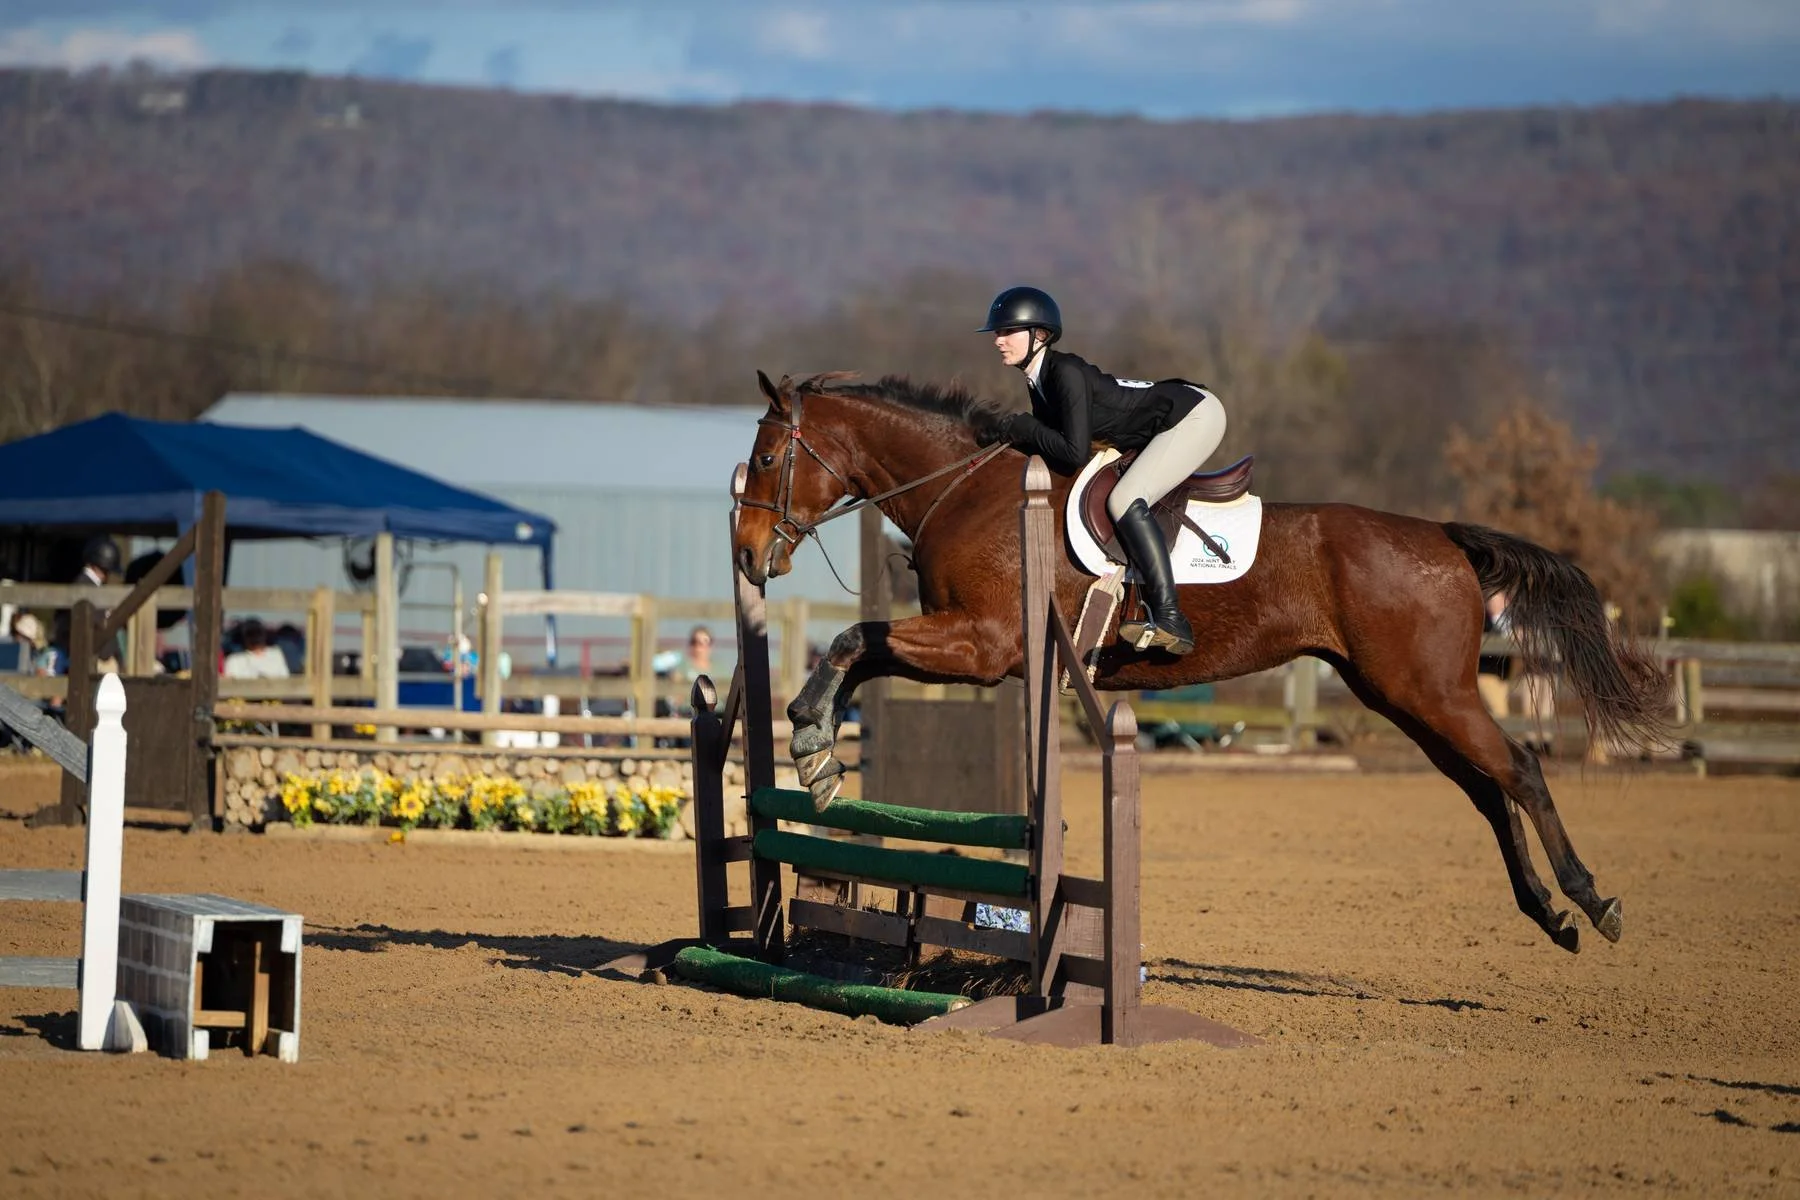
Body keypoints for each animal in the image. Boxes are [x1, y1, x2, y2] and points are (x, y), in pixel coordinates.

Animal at [735, 370, 1671, 954]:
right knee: (1486, 790)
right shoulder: (974, 645)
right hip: (1402, 697)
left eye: (770, 458)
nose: (747, 556)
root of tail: (1444, 536)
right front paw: (815, 751)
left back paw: (1591, 900)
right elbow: (864, 651)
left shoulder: (986, 643)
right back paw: (1547, 913)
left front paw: (810, 742)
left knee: (1519, 769)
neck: (967, 488)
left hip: (1431, 691)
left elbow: (856, 641)